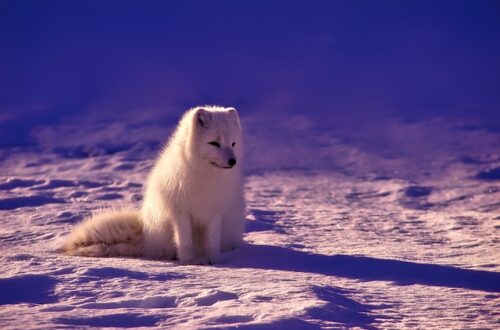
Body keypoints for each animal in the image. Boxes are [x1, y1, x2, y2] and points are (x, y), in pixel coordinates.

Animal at [61, 107, 245, 264]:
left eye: (233, 143)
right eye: (214, 143)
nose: (233, 161)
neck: (206, 176)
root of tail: (146, 235)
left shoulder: (215, 211)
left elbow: (212, 240)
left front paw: (214, 260)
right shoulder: (180, 211)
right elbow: (185, 240)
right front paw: (189, 261)